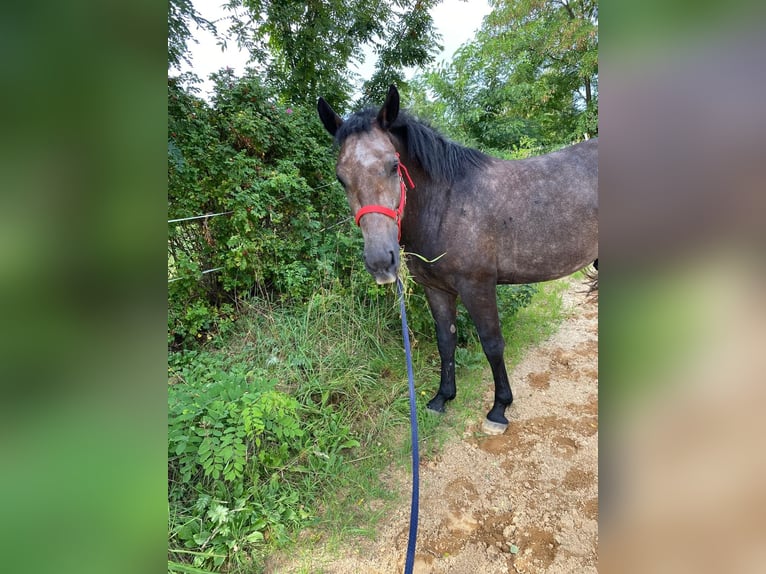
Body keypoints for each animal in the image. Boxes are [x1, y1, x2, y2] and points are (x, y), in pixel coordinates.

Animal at [317, 85, 597, 434]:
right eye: (341, 177)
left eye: (394, 166)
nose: (381, 262)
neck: (447, 204)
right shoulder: (437, 289)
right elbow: (445, 340)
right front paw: (442, 398)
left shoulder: (478, 286)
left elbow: (492, 344)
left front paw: (499, 409)